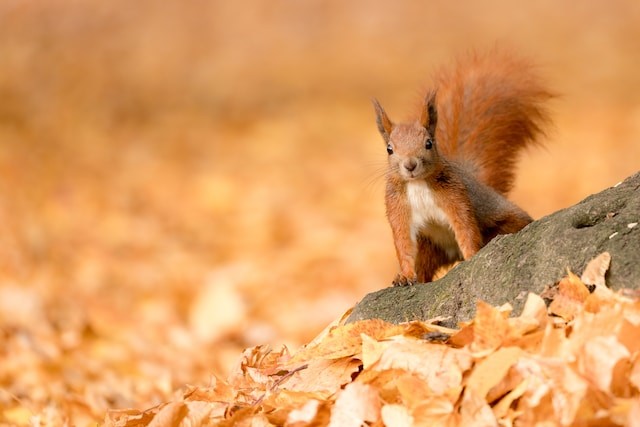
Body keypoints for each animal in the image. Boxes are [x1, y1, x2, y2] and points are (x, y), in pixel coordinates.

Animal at [372, 51, 552, 288]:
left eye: (429, 143)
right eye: (389, 149)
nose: (410, 165)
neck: (417, 184)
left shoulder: (456, 198)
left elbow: (466, 229)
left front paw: (472, 256)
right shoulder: (398, 208)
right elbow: (403, 244)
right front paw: (405, 275)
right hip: (430, 247)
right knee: (424, 266)